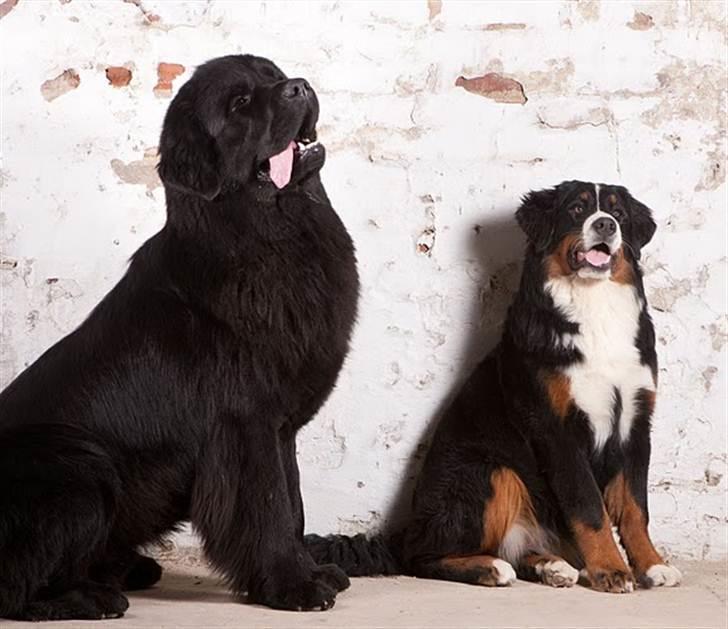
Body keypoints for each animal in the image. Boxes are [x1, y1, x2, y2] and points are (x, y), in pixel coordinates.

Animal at [0, 55, 358, 620]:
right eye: (239, 103)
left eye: (272, 72)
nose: (299, 86)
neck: (268, 237)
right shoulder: (246, 424)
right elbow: (271, 507)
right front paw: (293, 586)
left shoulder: (280, 428)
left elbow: (294, 501)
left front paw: (309, 571)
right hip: (79, 464)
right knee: (15, 585)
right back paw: (93, 597)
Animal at [308, 179, 684, 592]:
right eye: (577, 209)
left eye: (617, 213)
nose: (605, 225)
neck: (593, 305)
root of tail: (406, 530)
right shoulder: (556, 429)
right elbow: (589, 507)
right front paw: (610, 569)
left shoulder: (635, 421)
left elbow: (635, 508)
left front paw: (652, 565)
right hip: (490, 471)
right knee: (423, 557)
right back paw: (491, 567)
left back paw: (552, 566)